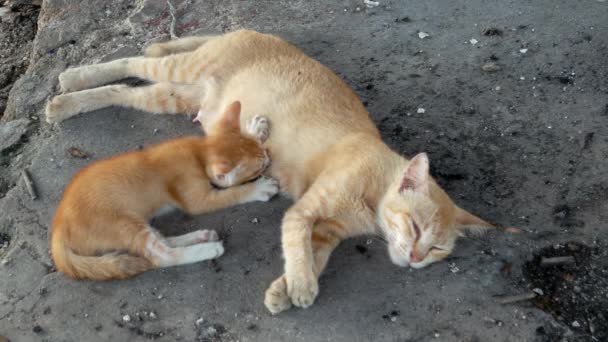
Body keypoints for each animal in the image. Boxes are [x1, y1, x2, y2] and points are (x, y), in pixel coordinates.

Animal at [50, 101, 278, 280]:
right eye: (259, 169)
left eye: (262, 150)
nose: (269, 158)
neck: (198, 153)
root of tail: (58, 229)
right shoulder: (197, 200)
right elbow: (232, 194)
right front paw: (259, 188)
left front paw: (255, 128)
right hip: (123, 224)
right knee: (160, 256)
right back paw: (208, 249)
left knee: (161, 240)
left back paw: (200, 236)